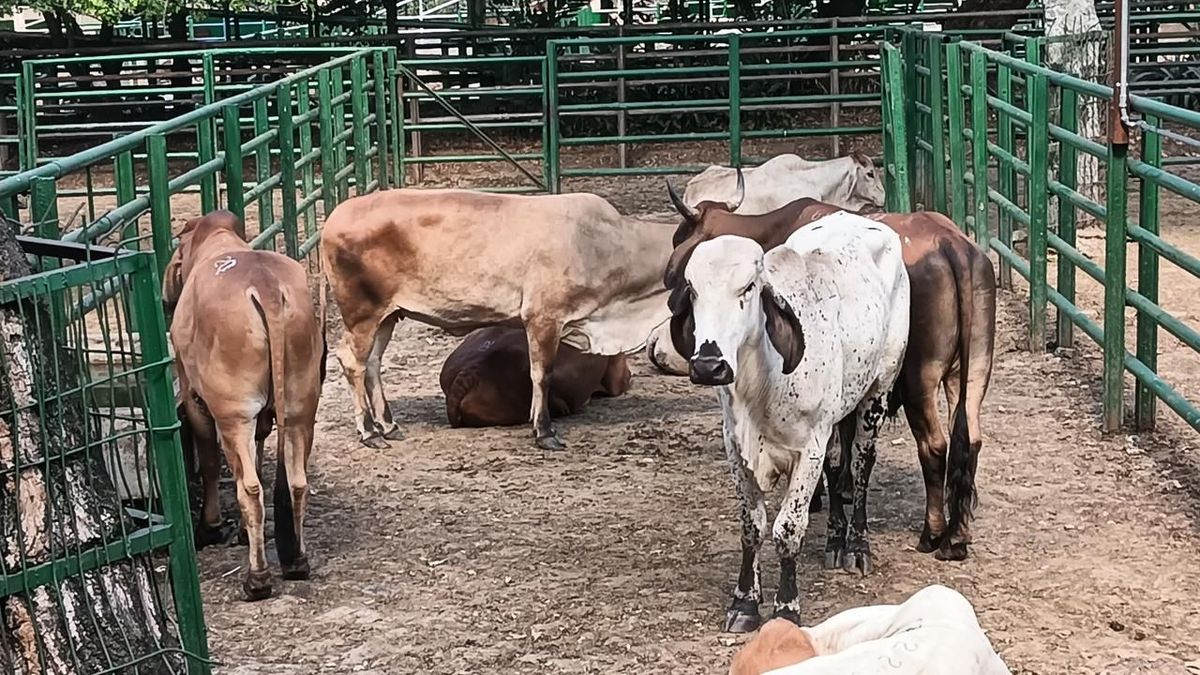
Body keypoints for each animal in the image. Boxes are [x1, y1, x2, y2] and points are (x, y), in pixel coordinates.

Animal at [164, 210, 325, 601]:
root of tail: (265, 288)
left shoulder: (194, 397)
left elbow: (209, 462)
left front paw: (210, 526)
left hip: (233, 414)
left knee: (249, 489)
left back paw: (257, 579)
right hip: (300, 407)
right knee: (296, 483)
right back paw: (296, 561)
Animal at [654, 173, 997, 562]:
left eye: (680, 237)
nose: (668, 278)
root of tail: (951, 243)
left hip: (918, 379)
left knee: (935, 445)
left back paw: (934, 532)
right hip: (972, 372)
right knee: (969, 441)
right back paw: (957, 537)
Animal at [671, 214, 910, 632]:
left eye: (748, 287)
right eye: (693, 290)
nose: (708, 365)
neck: (763, 385)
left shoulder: (808, 450)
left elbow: (788, 528)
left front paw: (786, 607)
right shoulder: (736, 448)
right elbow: (752, 525)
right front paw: (744, 603)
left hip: (878, 389)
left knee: (861, 465)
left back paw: (856, 545)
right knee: (837, 464)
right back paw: (834, 541)